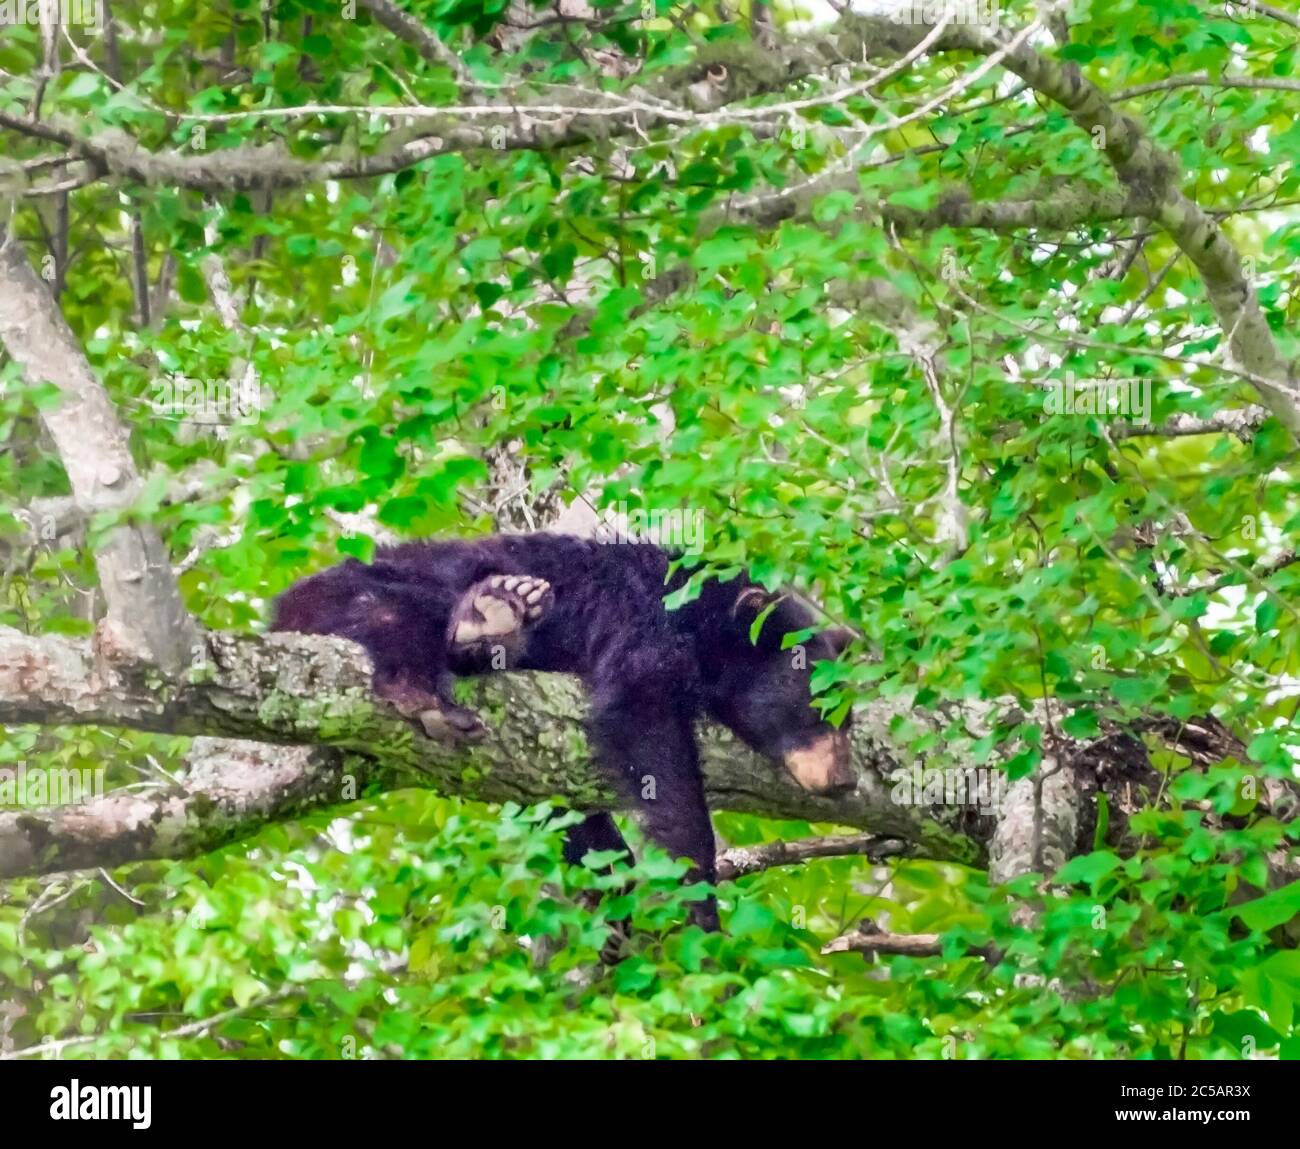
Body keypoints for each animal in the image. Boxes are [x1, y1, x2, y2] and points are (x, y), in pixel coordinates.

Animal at [274, 532, 852, 930]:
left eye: (848, 719)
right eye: (817, 706)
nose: (843, 780)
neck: (701, 617)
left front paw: (609, 880)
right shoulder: (637, 624)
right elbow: (645, 726)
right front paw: (698, 896)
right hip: (358, 592)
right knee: (398, 611)